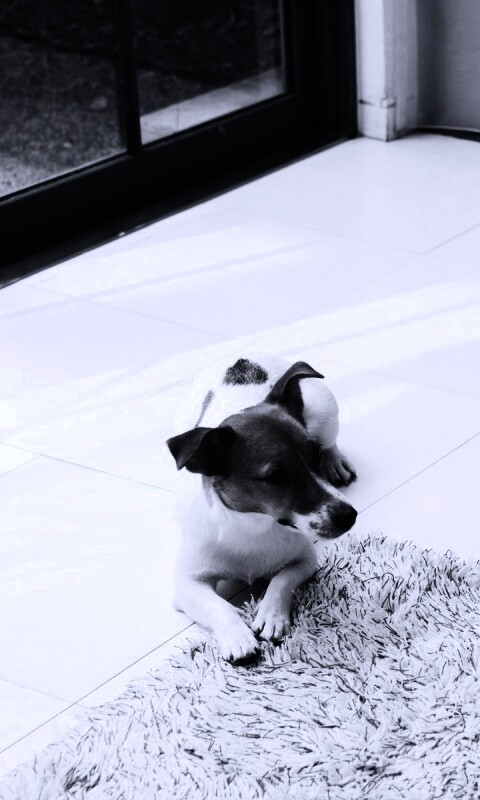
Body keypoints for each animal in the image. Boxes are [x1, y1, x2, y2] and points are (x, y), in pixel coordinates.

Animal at [167, 354, 357, 663]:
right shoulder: (187, 584)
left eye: (313, 454)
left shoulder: (305, 560)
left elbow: (281, 580)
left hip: (325, 410)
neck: (252, 526)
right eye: (276, 477)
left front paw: (271, 615)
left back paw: (336, 462)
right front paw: (237, 635)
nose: (349, 516)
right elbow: (219, 606)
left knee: (332, 439)